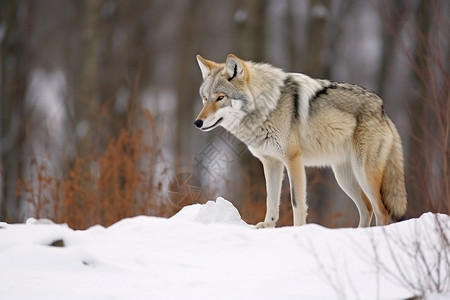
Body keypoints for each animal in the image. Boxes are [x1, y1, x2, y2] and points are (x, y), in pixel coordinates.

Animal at [193, 54, 408, 227]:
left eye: (220, 98)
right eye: (204, 98)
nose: (197, 122)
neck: (267, 107)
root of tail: (382, 108)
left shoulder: (293, 160)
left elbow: (297, 202)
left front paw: (297, 230)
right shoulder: (271, 163)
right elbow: (271, 199)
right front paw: (267, 226)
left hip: (364, 174)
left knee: (382, 211)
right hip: (344, 178)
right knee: (367, 209)